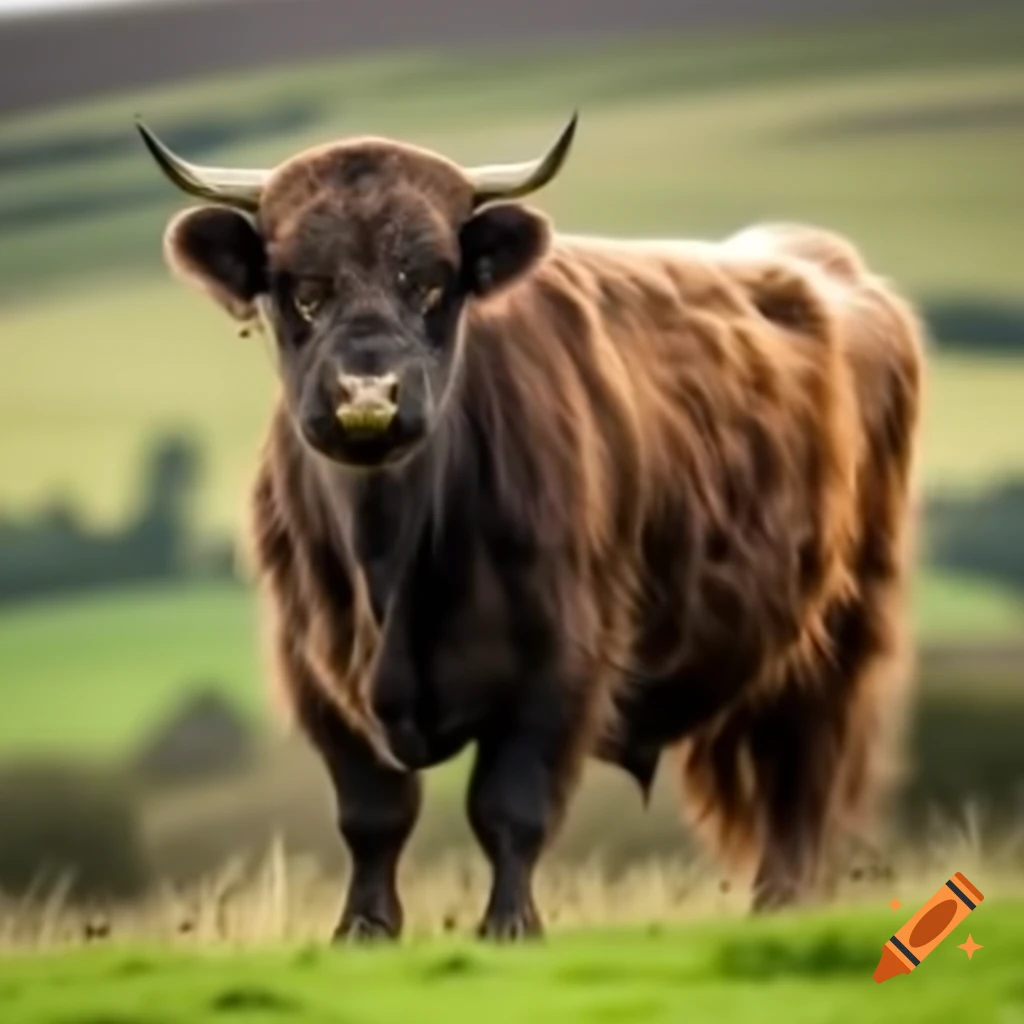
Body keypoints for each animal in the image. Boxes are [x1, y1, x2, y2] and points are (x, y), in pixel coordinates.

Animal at [136, 113, 925, 942]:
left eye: (433, 282)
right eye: (302, 290)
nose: (368, 395)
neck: (389, 560)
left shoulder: (560, 660)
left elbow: (510, 805)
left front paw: (510, 926)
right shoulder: (314, 669)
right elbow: (373, 814)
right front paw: (364, 930)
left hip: (844, 623)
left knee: (803, 767)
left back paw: (781, 902)